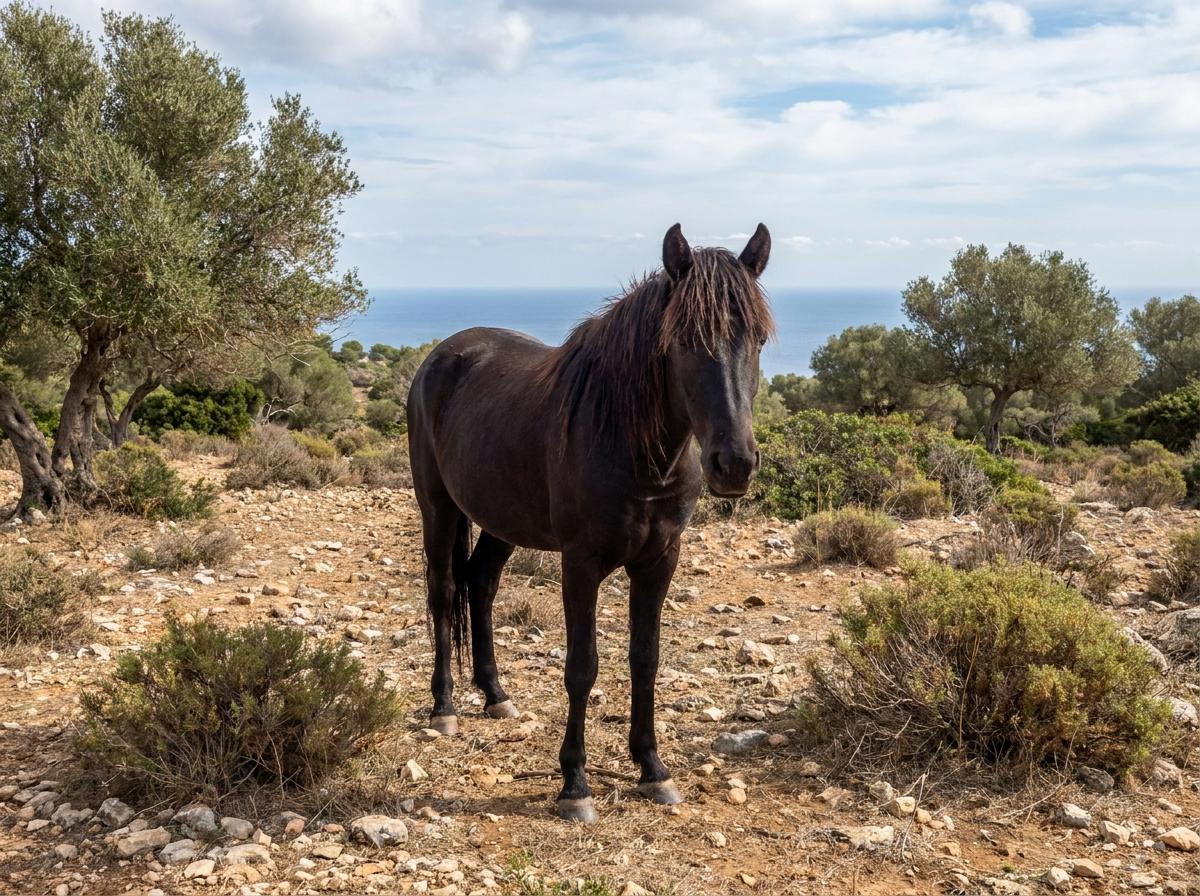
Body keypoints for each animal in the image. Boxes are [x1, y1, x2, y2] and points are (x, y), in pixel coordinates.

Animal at [406, 223, 774, 823]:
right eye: (684, 340)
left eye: (758, 340)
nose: (734, 464)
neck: (634, 446)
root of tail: (443, 354)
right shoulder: (581, 564)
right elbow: (582, 666)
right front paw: (575, 784)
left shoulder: (660, 560)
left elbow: (645, 659)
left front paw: (652, 769)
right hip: (437, 505)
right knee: (442, 592)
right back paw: (444, 707)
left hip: (501, 520)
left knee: (480, 585)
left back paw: (496, 695)